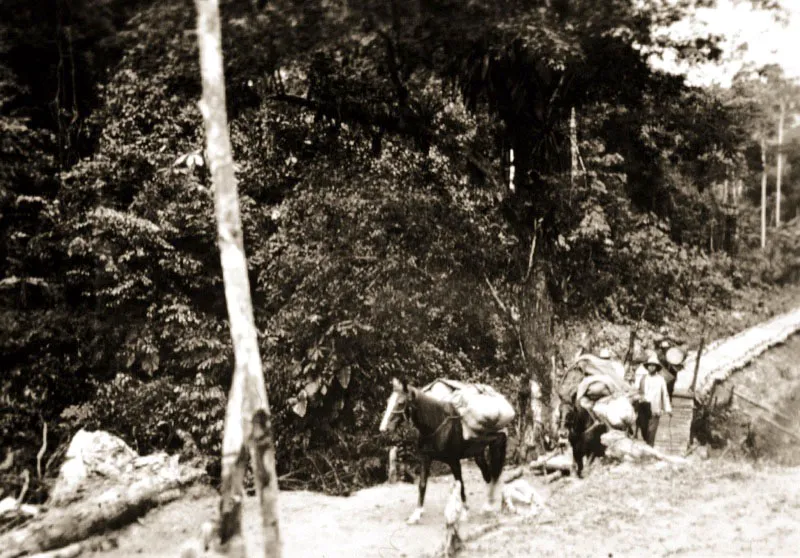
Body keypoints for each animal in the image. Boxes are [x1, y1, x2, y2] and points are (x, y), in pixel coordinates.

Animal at [380, 378, 516, 528]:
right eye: (388, 401)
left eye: (401, 402)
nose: (383, 429)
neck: (436, 425)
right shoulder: (425, 459)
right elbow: (422, 485)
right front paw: (416, 515)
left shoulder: (454, 461)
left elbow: (460, 484)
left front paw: (464, 513)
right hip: (478, 455)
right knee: (489, 476)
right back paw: (491, 505)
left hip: (496, 446)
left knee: (495, 474)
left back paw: (494, 505)